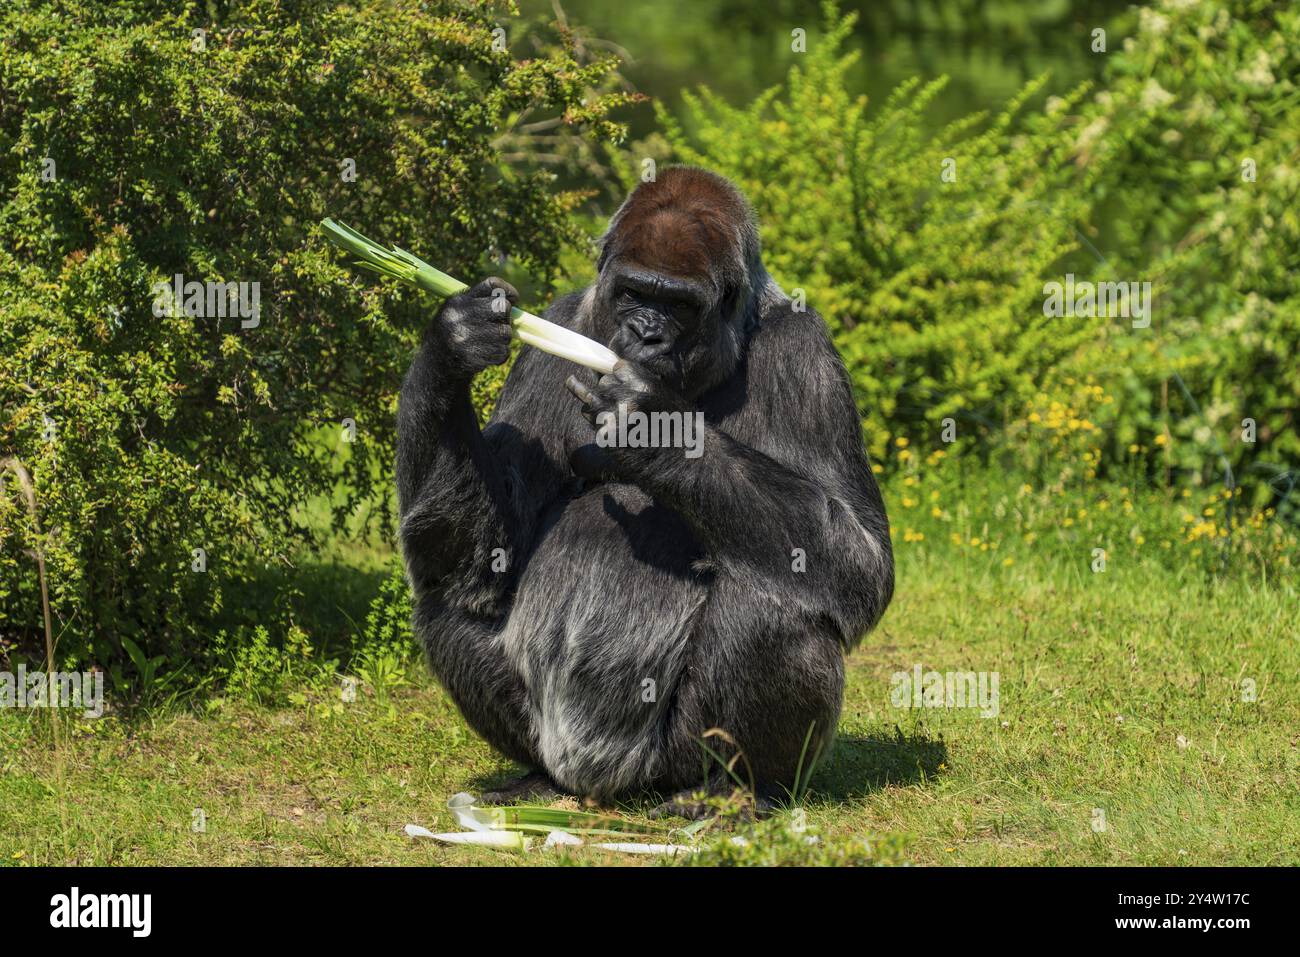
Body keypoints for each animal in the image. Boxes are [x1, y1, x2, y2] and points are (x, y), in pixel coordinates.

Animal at [395, 164, 894, 816]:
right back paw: (536, 778)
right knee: (447, 590)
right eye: (634, 293)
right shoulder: (557, 326)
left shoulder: (806, 354)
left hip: (668, 764)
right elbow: (486, 556)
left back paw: (736, 792)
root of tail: (606, 787)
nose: (645, 335)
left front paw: (652, 428)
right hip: (552, 743)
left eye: (678, 304)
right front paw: (452, 342)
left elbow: (862, 561)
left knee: (783, 610)